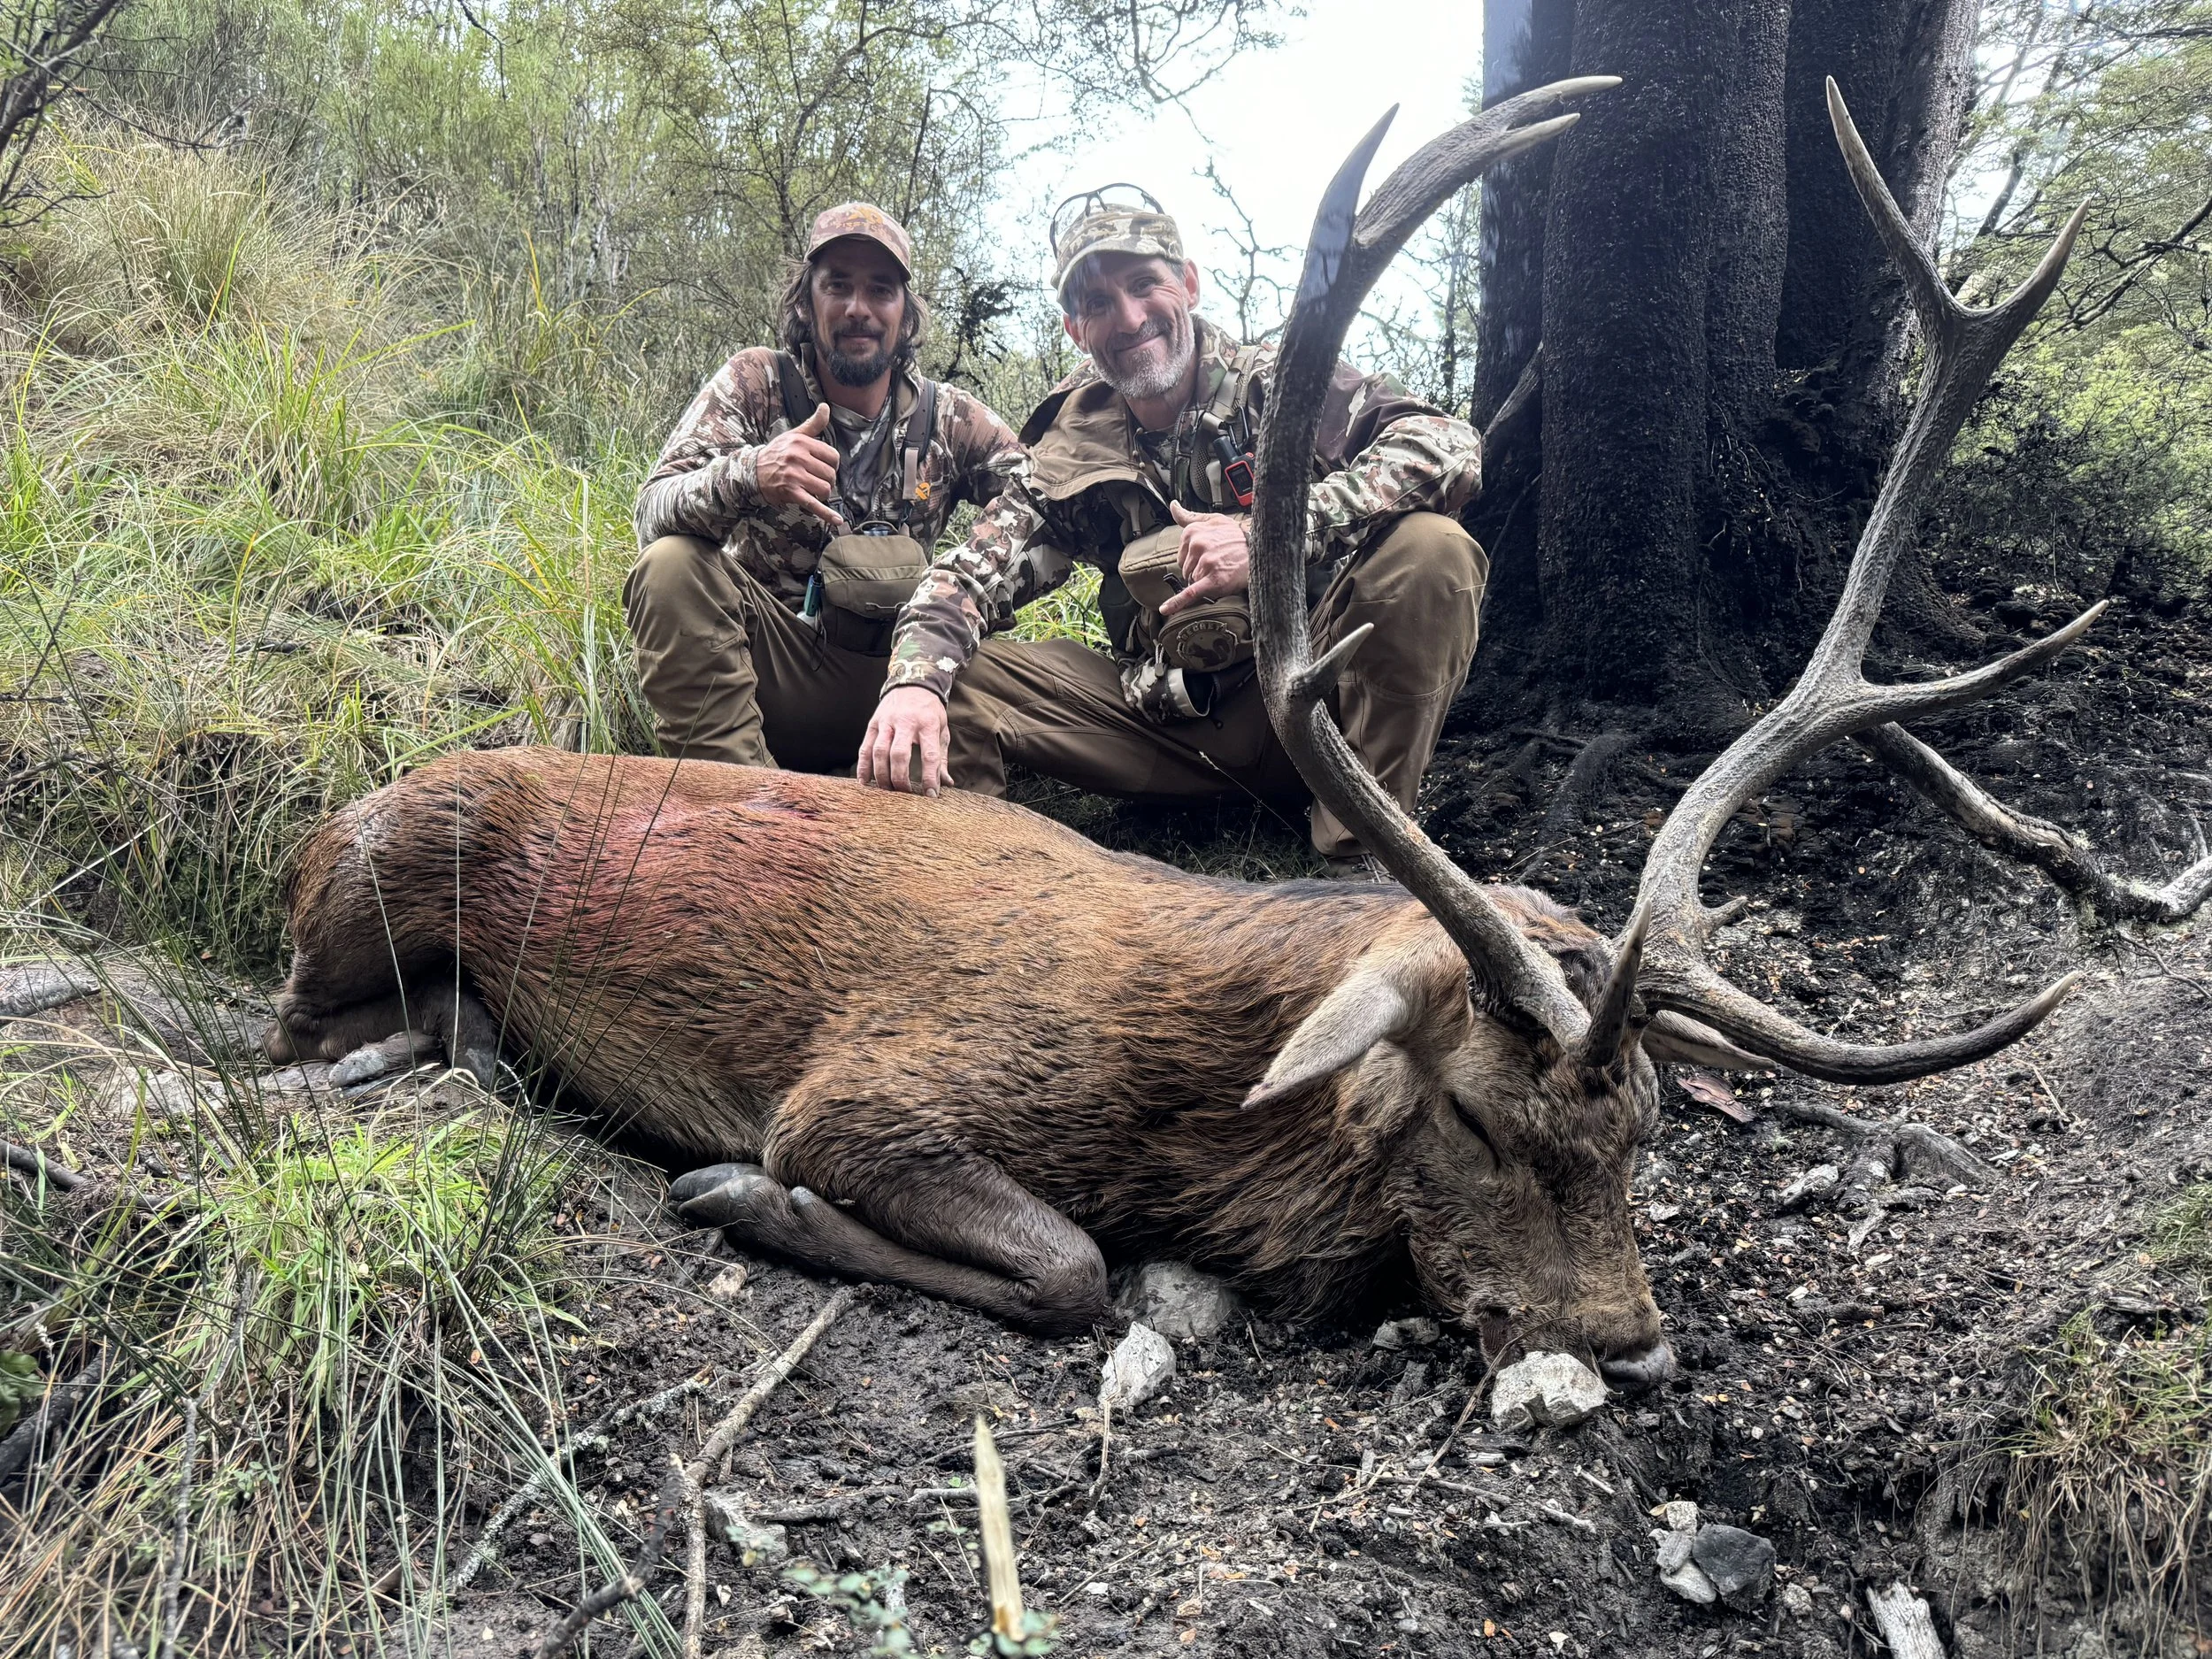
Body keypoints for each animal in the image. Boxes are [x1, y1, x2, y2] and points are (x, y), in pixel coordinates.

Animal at [263, 77, 2159, 1386]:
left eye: (1644, 1133)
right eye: (1480, 1121)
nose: (1628, 1345)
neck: (1180, 1109)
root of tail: (334, 816)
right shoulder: (869, 1087)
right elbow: (1065, 1265)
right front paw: (733, 1196)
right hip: (371, 875)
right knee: (291, 1023)